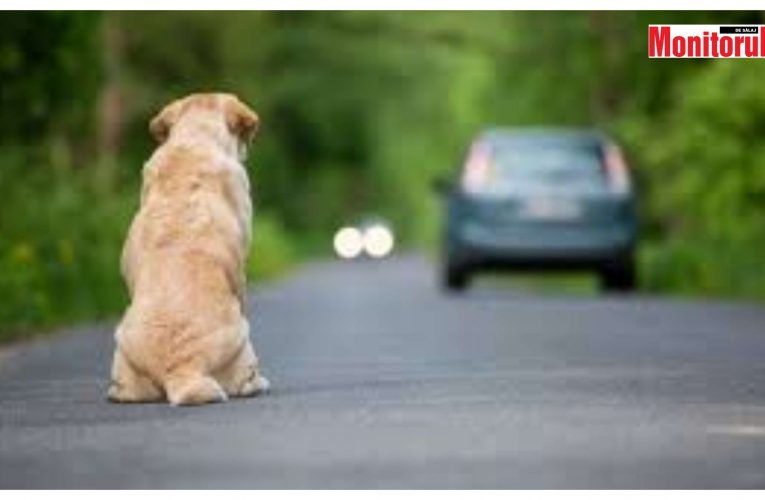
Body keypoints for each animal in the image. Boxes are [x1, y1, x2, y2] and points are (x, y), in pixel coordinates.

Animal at [107, 93, 268, 406]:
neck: (194, 140)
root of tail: (182, 368)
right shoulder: (240, 272)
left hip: (122, 346)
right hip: (243, 339)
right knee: (246, 381)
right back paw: (259, 383)